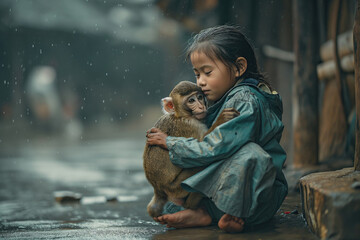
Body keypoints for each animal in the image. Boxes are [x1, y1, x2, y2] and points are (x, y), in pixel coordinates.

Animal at [143, 80, 239, 218]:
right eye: (191, 100)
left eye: (199, 97)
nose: (200, 106)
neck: (180, 115)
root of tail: (159, 190)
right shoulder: (190, 126)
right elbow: (202, 146)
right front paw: (222, 118)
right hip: (176, 188)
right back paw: (192, 205)